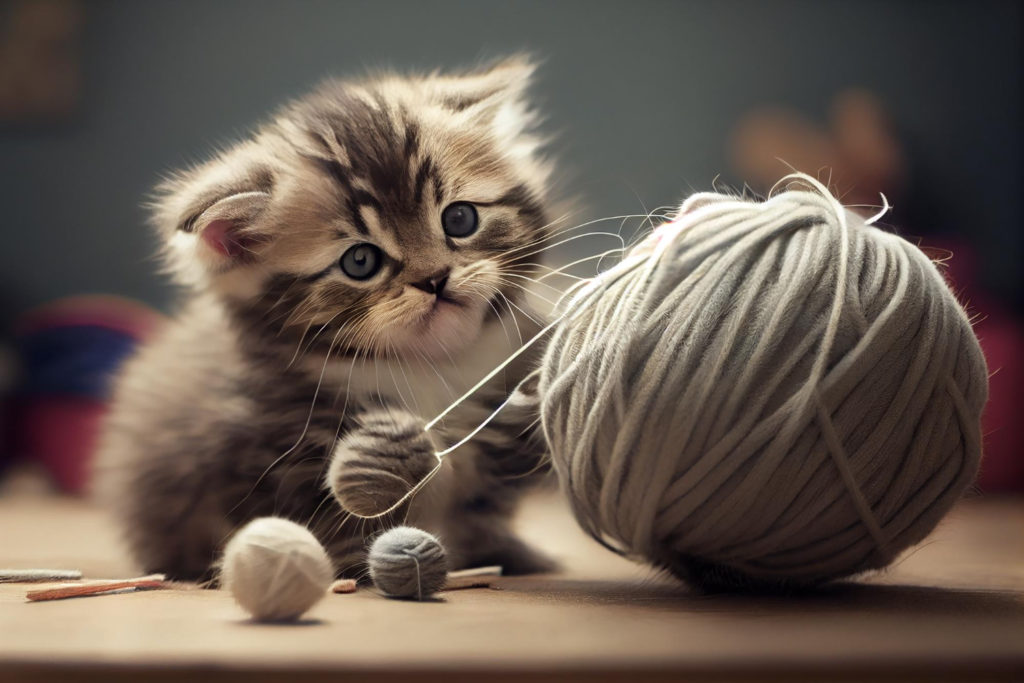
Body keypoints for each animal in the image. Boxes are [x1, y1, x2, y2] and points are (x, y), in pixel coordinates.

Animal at [94, 60, 561, 581]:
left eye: (459, 219)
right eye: (360, 261)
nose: (435, 279)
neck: (432, 369)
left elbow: (484, 501)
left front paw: (502, 553)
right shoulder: (269, 448)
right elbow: (336, 516)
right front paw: (365, 558)